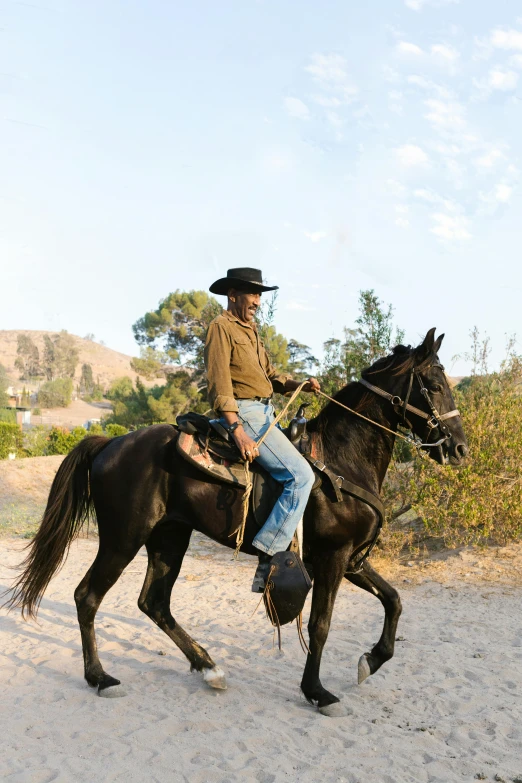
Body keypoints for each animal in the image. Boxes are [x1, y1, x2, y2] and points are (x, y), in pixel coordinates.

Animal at [5, 330, 468, 716]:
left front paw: (370, 660)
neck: (340, 460)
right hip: (123, 539)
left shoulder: (352, 560)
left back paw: (208, 666)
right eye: (434, 384)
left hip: (169, 538)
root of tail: (111, 442)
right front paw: (317, 692)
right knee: (87, 597)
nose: (460, 449)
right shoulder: (333, 559)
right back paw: (100, 677)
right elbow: (320, 625)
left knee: (154, 602)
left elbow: (394, 600)